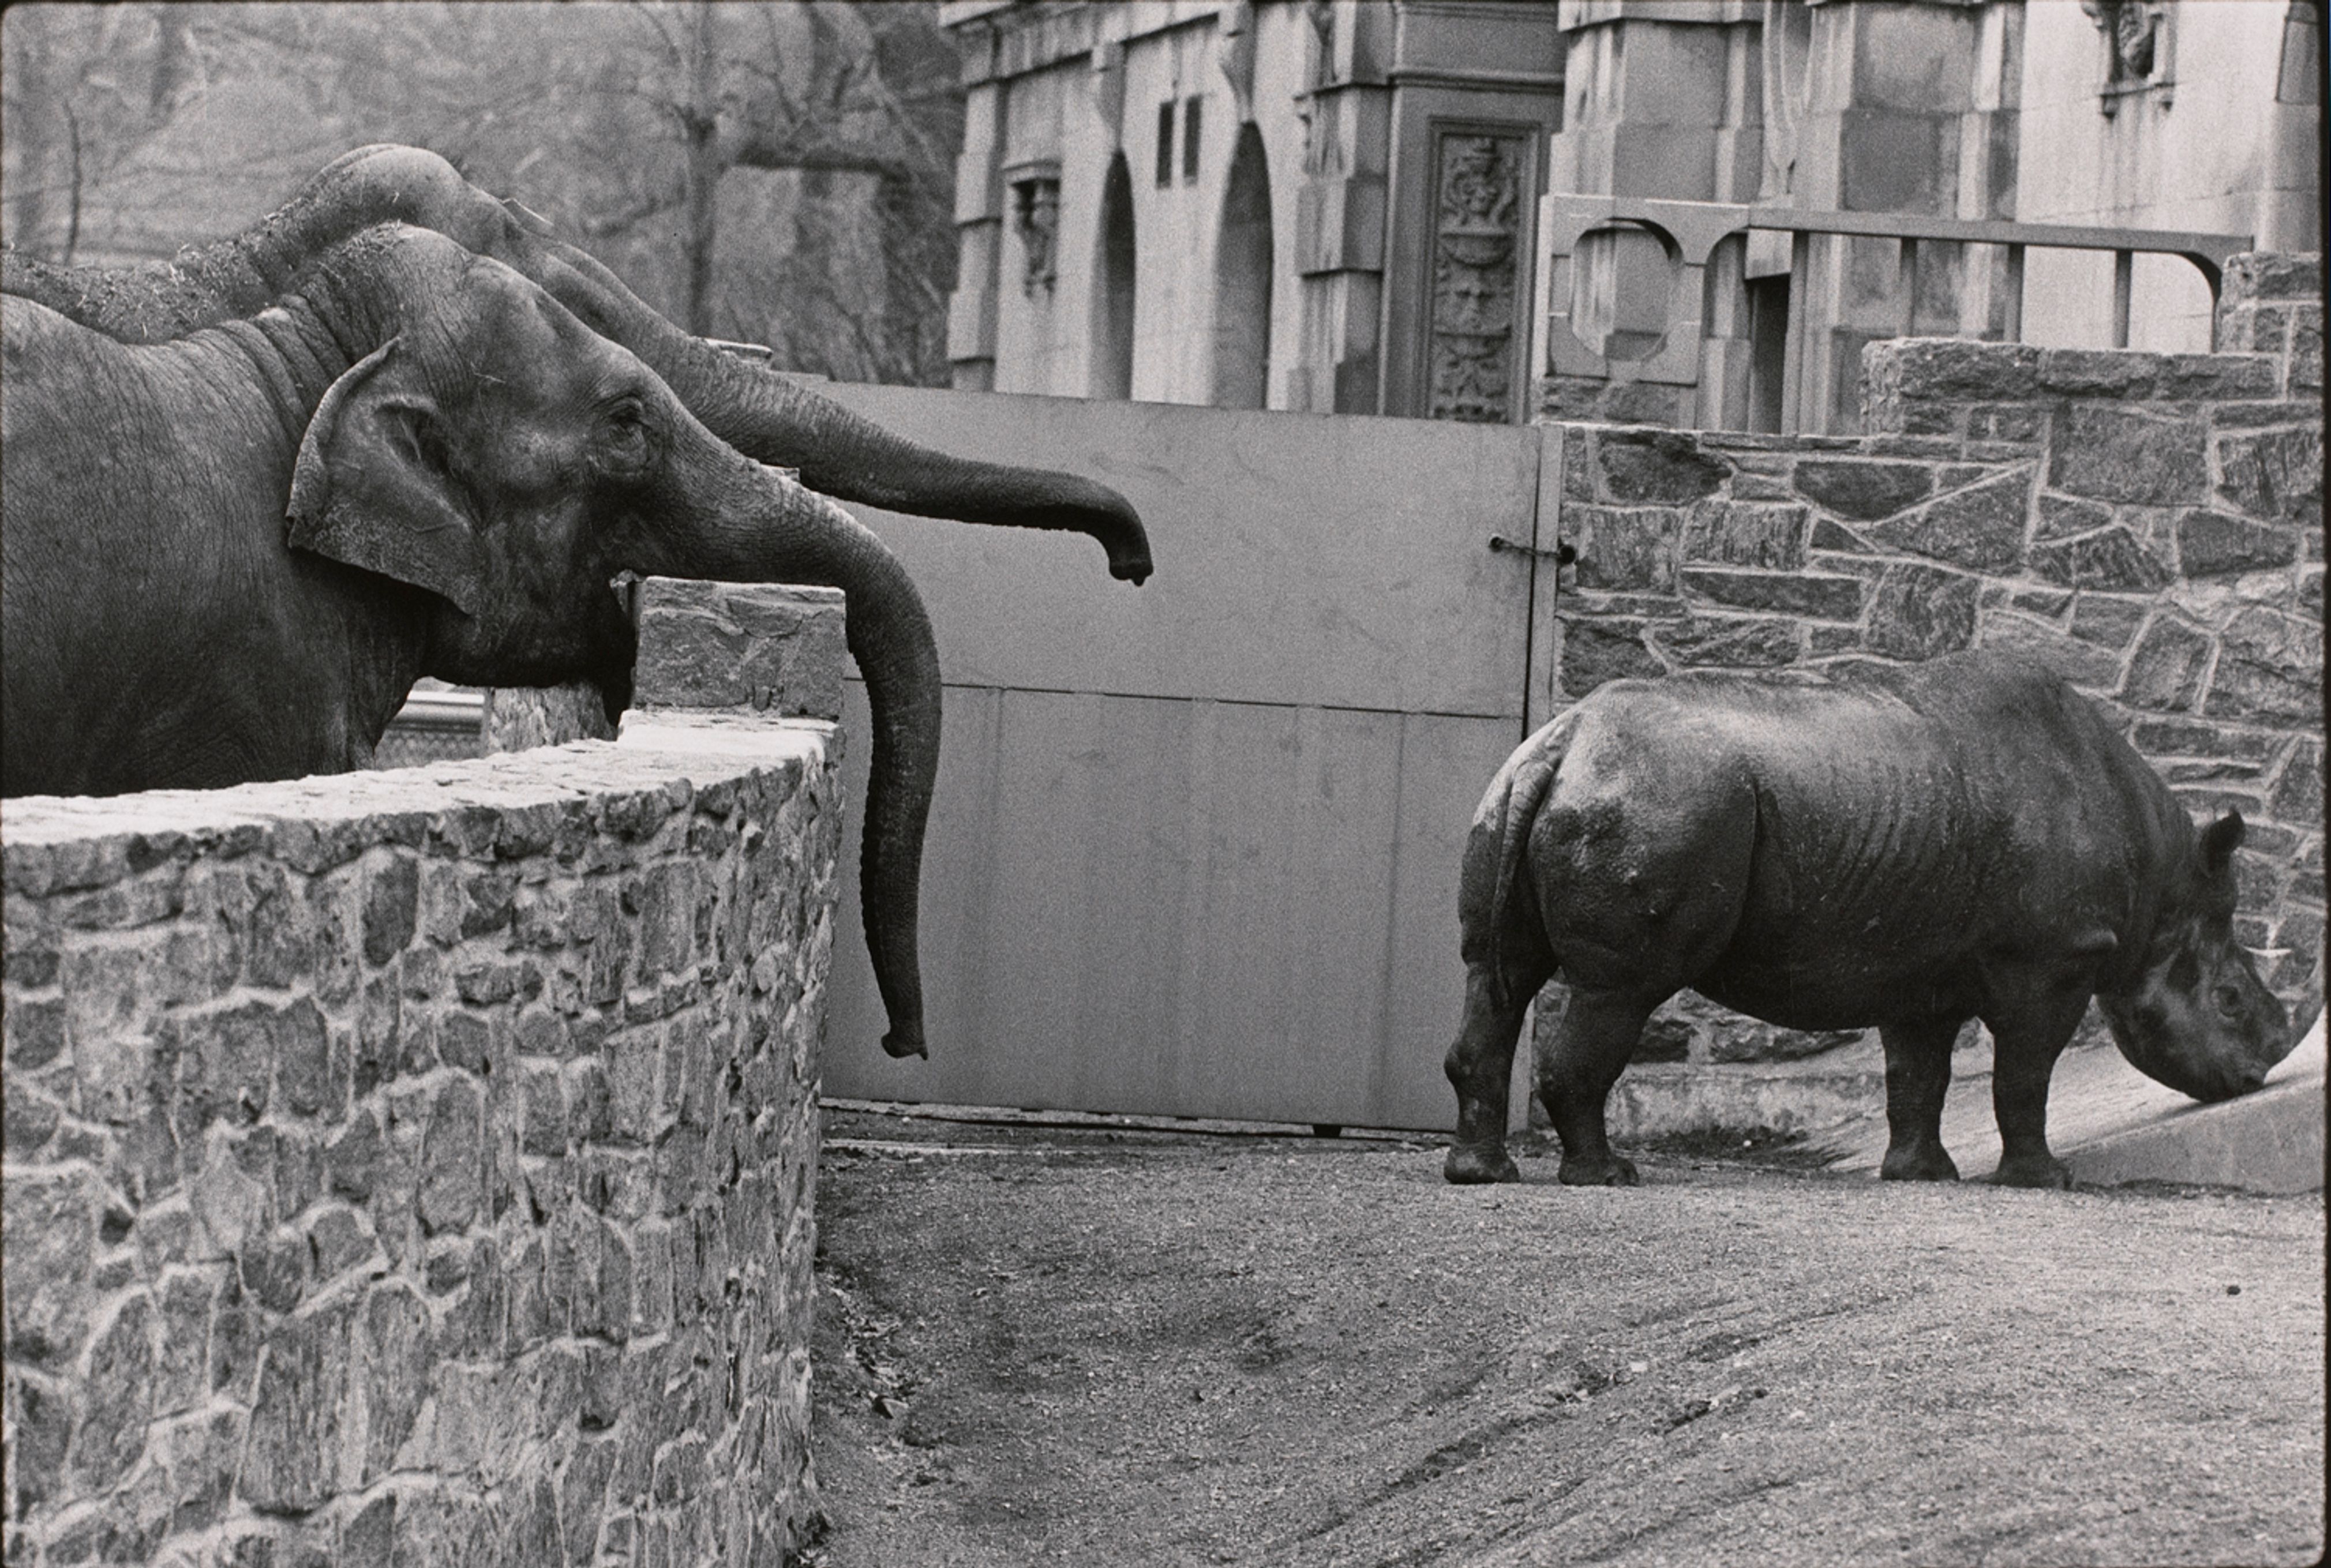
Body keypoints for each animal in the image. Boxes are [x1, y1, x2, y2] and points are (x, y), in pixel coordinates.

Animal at [1443, 651, 2295, 1189]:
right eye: (2229, 1002)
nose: (2251, 1079)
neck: (2158, 887)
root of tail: (1564, 743)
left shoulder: (1919, 964)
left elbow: (1917, 1072)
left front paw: (1922, 1177)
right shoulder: (2051, 958)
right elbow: (2024, 1071)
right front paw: (2045, 1181)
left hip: (1528, 790)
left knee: (1494, 974)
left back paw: (1480, 1174)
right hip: (1657, 801)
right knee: (1617, 989)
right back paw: (1607, 1178)